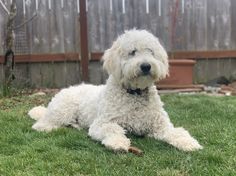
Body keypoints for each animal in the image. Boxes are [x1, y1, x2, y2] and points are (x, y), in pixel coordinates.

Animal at [28, 29, 203, 152]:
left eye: (151, 51)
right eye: (132, 52)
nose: (146, 66)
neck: (134, 94)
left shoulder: (161, 125)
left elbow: (177, 131)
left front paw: (189, 143)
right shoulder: (102, 123)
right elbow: (113, 129)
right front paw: (118, 143)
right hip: (63, 110)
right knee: (41, 124)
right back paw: (48, 127)